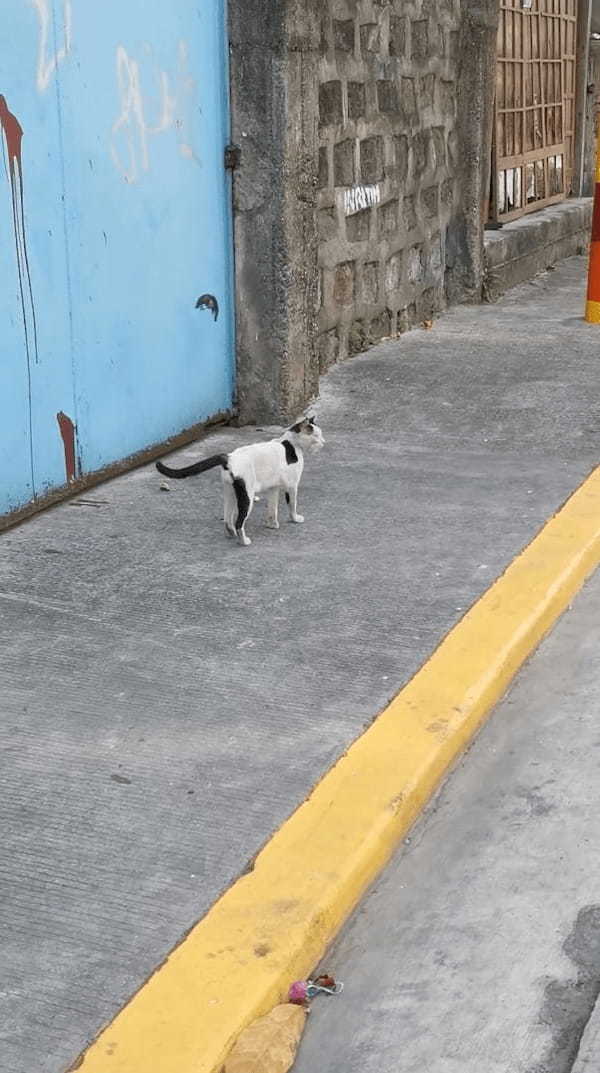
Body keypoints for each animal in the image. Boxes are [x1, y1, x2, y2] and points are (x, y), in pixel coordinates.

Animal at [154, 412, 324, 545]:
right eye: (316, 435)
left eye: (321, 434)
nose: (324, 442)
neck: (291, 444)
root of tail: (228, 457)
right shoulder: (292, 485)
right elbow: (292, 505)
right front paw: (295, 519)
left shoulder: (273, 488)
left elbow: (272, 508)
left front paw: (272, 524)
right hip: (247, 496)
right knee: (238, 522)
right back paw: (244, 541)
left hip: (230, 493)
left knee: (227, 518)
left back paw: (231, 534)